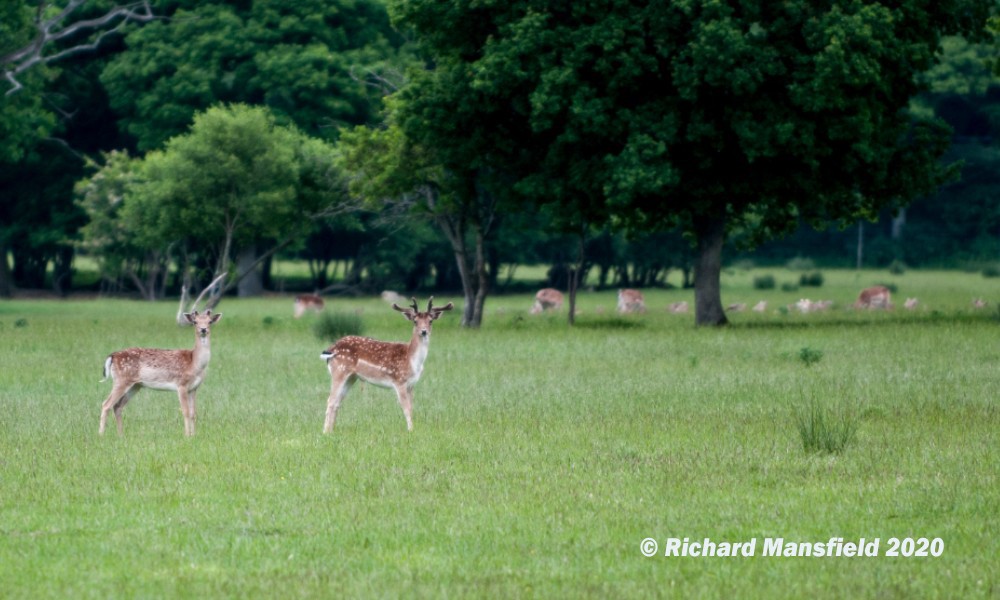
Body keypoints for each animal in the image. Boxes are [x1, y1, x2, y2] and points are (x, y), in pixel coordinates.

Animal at [320, 297, 453, 432]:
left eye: (430, 321)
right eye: (415, 321)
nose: (424, 331)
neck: (411, 360)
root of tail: (330, 349)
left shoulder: (411, 384)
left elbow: (412, 408)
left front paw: (412, 429)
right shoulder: (399, 380)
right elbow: (406, 408)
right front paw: (410, 430)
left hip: (351, 377)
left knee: (337, 402)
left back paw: (331, 431)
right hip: (339, 370)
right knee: (330, 400)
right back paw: (325, 432)